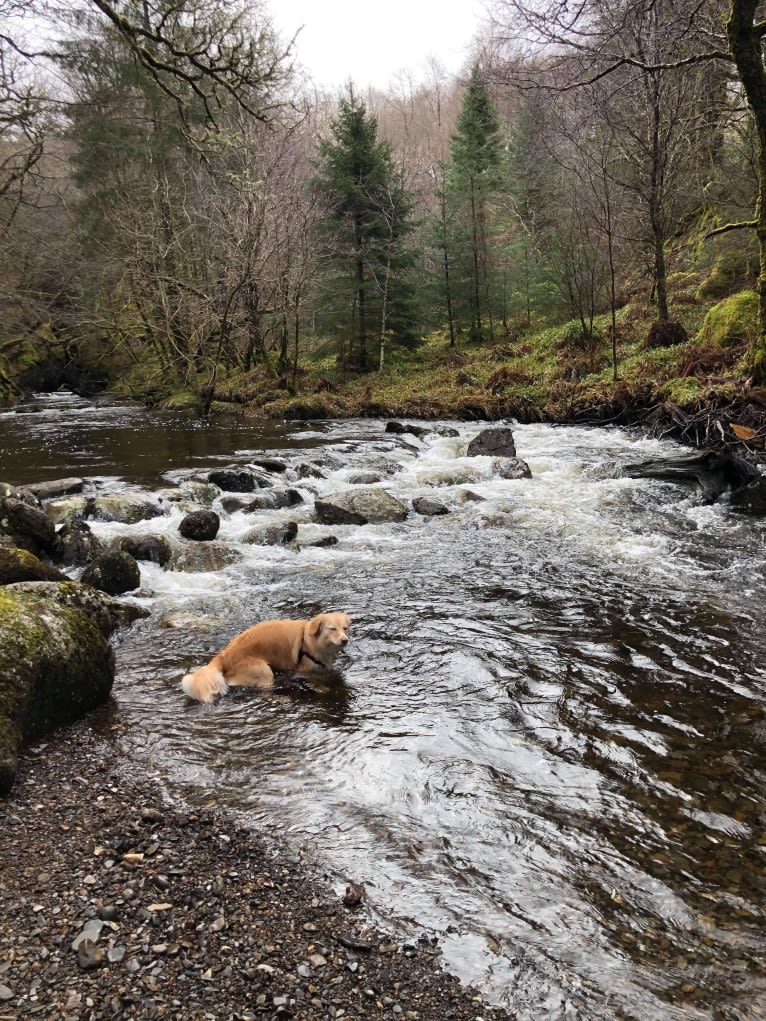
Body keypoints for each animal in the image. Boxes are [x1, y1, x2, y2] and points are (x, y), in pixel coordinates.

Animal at [181, 612, 353, 702]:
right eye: (332, 629)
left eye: (345, 628)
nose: (345, 640)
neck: (310, 641)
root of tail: (225, 655)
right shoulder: (305, 671)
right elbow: (317, 683)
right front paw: (324, 689)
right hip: (264, 671)